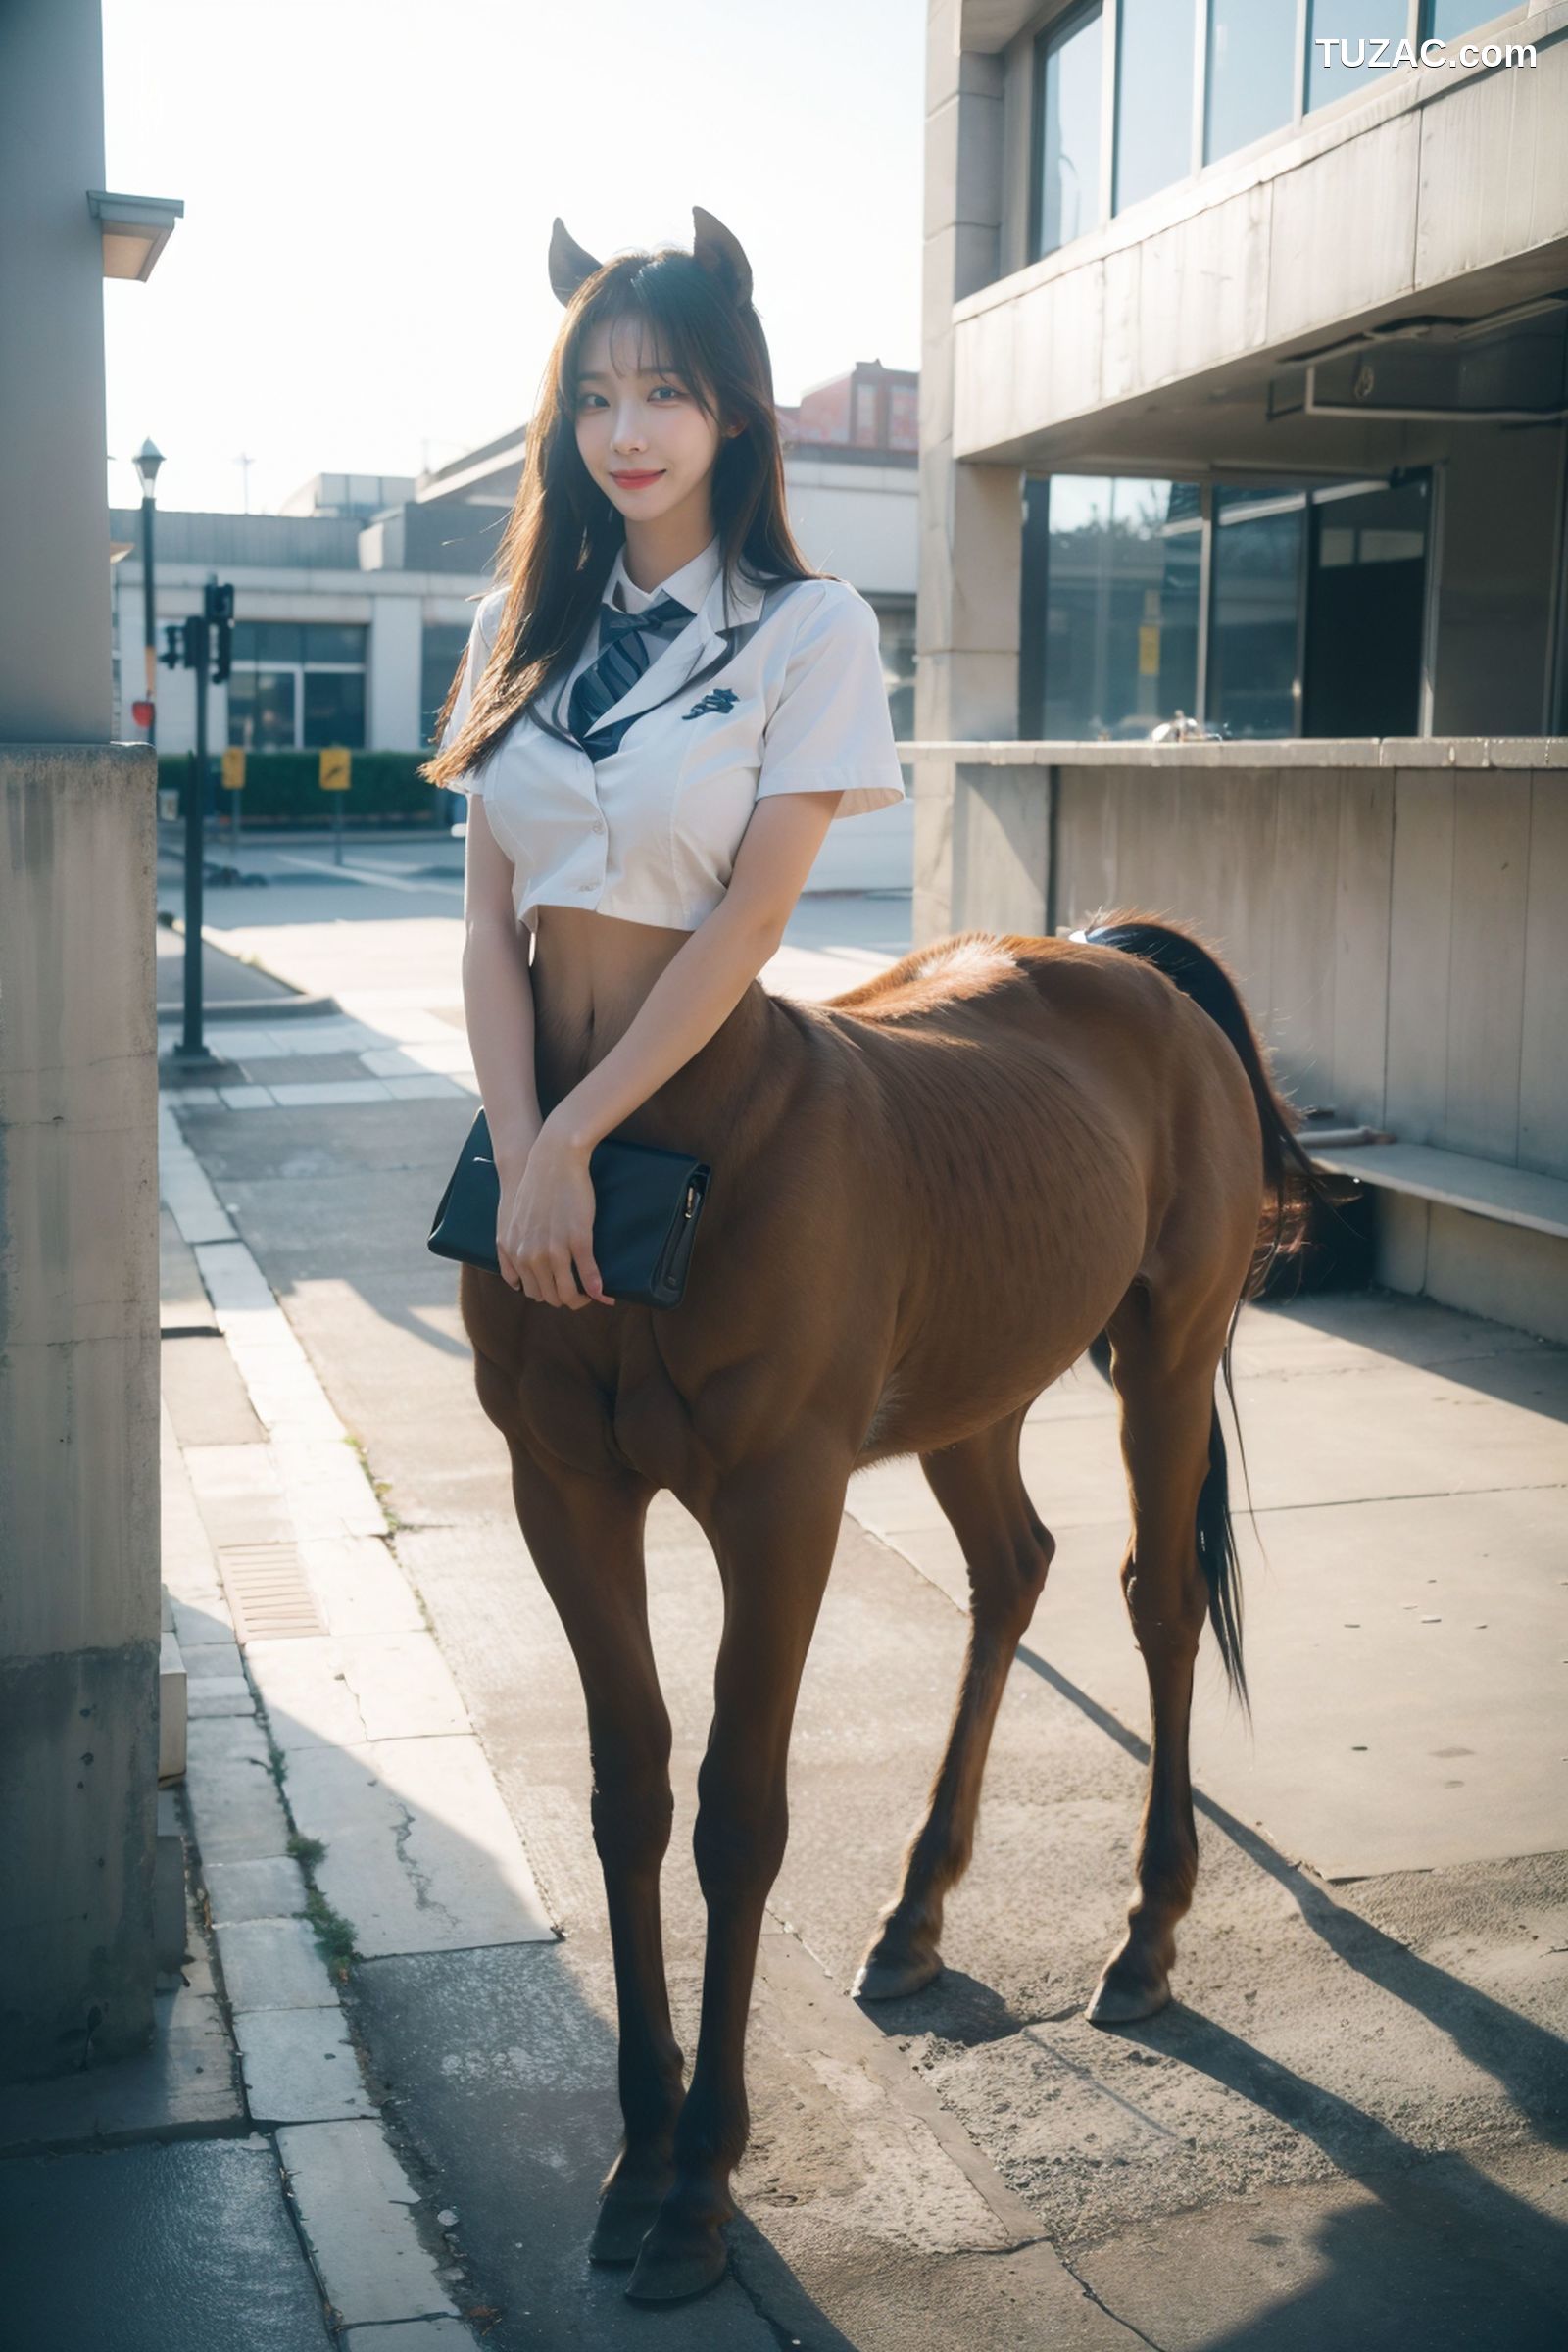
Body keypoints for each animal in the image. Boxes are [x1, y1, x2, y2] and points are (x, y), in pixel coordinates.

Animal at [459, 913, 1316, 2303]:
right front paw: (639, 2159)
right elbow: (628, 1795)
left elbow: (738, 1818)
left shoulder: (781, 1505)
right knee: (1012, 1567)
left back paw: (1145, 1934)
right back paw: (915, 1913)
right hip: (977, 1387)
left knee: (1160, 1601)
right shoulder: (563, 1493)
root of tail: (1118, 956)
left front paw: (698, 2188)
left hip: (1169, 1354)